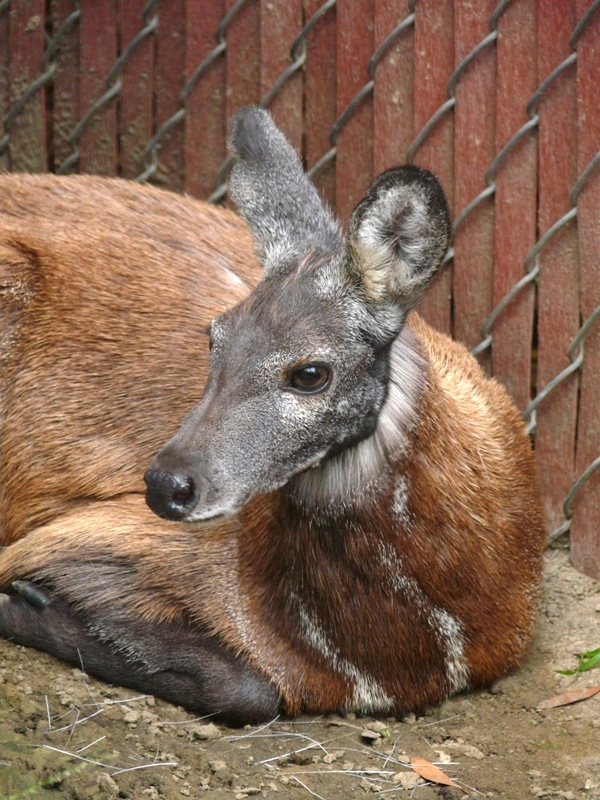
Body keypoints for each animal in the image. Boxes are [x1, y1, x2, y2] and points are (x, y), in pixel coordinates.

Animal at [0, 107, 545, 725]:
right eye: (215, 338)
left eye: (310, 372)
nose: (166, 485)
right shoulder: (91, 534)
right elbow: (251, 689)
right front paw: (31, 601)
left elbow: (252, 690)